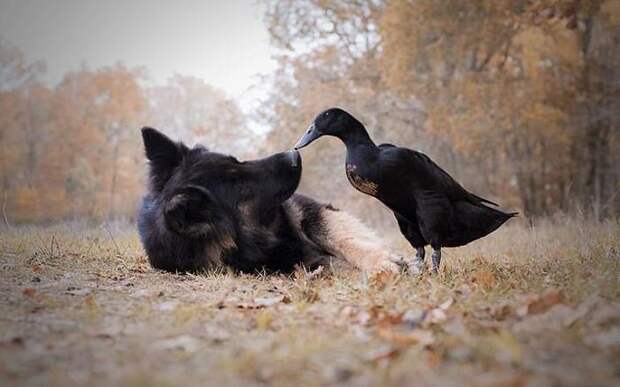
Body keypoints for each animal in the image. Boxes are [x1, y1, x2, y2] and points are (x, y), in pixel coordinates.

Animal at [137, 129, 400, 274]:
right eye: (240, 185)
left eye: (237, 160)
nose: (294, 154)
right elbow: (325, 263)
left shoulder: (309, 213)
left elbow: (343, 240)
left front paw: (382, 261)